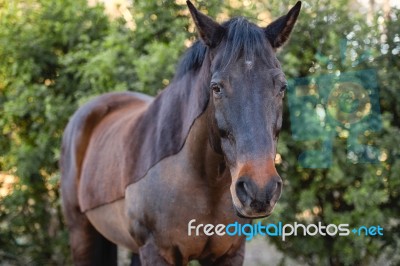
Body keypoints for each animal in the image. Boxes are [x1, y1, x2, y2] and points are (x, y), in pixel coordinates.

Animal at [59, 1, 300, 264]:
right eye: (216, 87)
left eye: (282, 86)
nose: (259, 190)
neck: (205, 182)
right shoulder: (157, 252)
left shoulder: (231, 252)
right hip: (82, 233)